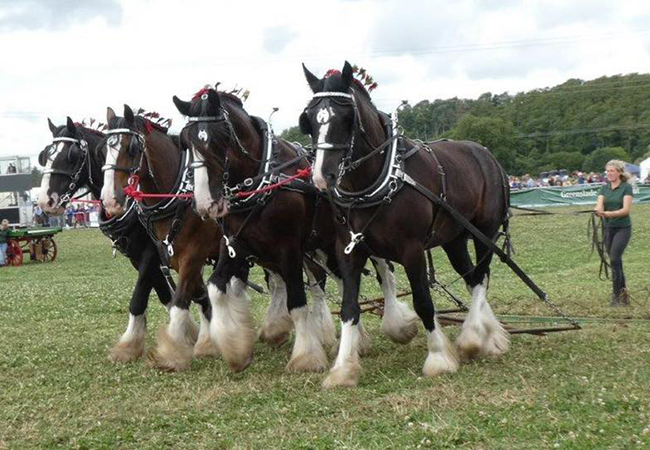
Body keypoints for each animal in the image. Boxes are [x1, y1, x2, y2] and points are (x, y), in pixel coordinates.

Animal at [36, 117, 175, 362]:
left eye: (72, 155)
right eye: (45, 155)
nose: (45, 201)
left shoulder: (151, 251)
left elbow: (139, 295)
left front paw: (128, 344)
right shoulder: (139, 256)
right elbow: (163, 293)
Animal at [172, 87, 421, 373]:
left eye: (219, 138)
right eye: (186, 142)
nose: (205, 203)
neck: (262, 180)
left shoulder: (288, 249)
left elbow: (297, 303)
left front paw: (305, 357)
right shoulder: (235, 246)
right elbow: (215, 288)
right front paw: (234, 347)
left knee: (385, 273)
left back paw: (396, 325)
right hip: (326, 246)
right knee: (339, 281)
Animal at [299, 62, 511, 387]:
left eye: (346, 117)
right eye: (309, 119)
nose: (322, 177)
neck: (380, 179)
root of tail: (487, 155)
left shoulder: (412, 251)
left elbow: (423, 301)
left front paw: (439, 358)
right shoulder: (349, 249)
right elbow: (349, 308)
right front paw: (344, 368)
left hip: (484, 232)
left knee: (481, 277)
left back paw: (474, 336)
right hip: (454, 239)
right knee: (473, 276)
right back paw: (491, 335)